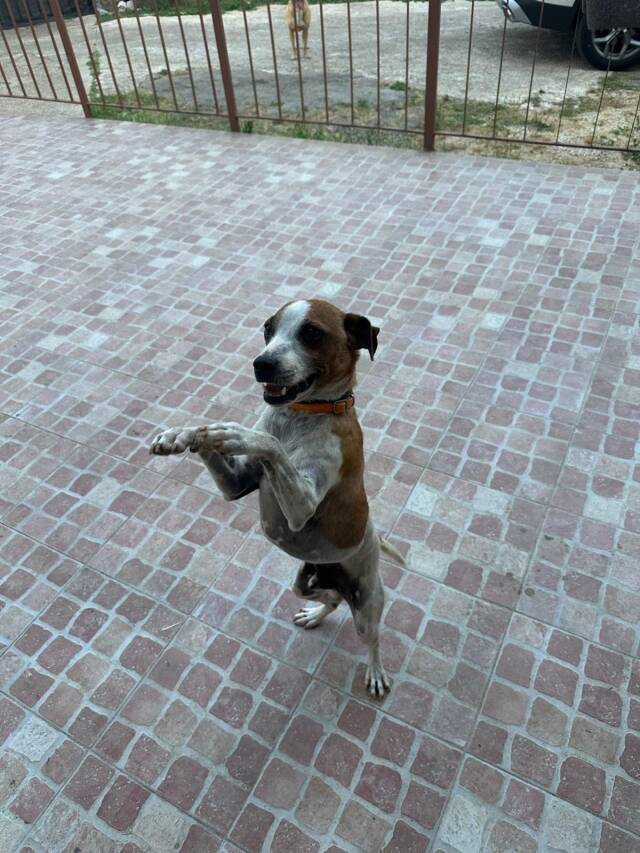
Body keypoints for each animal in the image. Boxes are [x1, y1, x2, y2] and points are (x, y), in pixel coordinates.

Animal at [150, 300, 404, 697]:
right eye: (267, 329)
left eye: (311, 333)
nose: (261, 364)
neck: (300, 416)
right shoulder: (235, 485)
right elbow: (211, 437)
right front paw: (182, 434)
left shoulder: (301, 506)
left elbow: (268, 442)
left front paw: (236, 433)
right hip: (305, 579)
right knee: (330, 598)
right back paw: (315, 615)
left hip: (366, 604)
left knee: (372, 637)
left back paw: (375, 672)